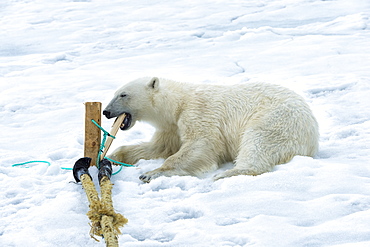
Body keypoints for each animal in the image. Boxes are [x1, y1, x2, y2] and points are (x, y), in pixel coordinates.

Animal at [103, 78, 318, 182]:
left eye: (123, 94)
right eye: (115, 93)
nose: (106, 111)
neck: (178, 103)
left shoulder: (197, 113)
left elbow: (201, 144)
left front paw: (151, 173)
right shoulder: (171, 127)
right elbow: (159, 147)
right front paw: (111, 157)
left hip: (275, 119)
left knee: (258, 142)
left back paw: (228, 173)